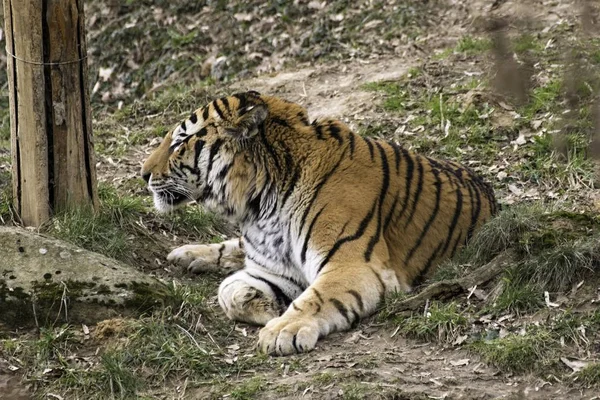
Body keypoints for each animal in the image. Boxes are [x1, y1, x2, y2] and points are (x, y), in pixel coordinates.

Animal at [141, 90, 496, 356]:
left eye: (179, 142)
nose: (143, 173)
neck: (260, 205)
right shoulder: (277, 272)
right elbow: (229, 291)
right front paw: (265, 307)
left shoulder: (354, 264)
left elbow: (316, 297)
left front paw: (281, 328)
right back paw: (186, 254)